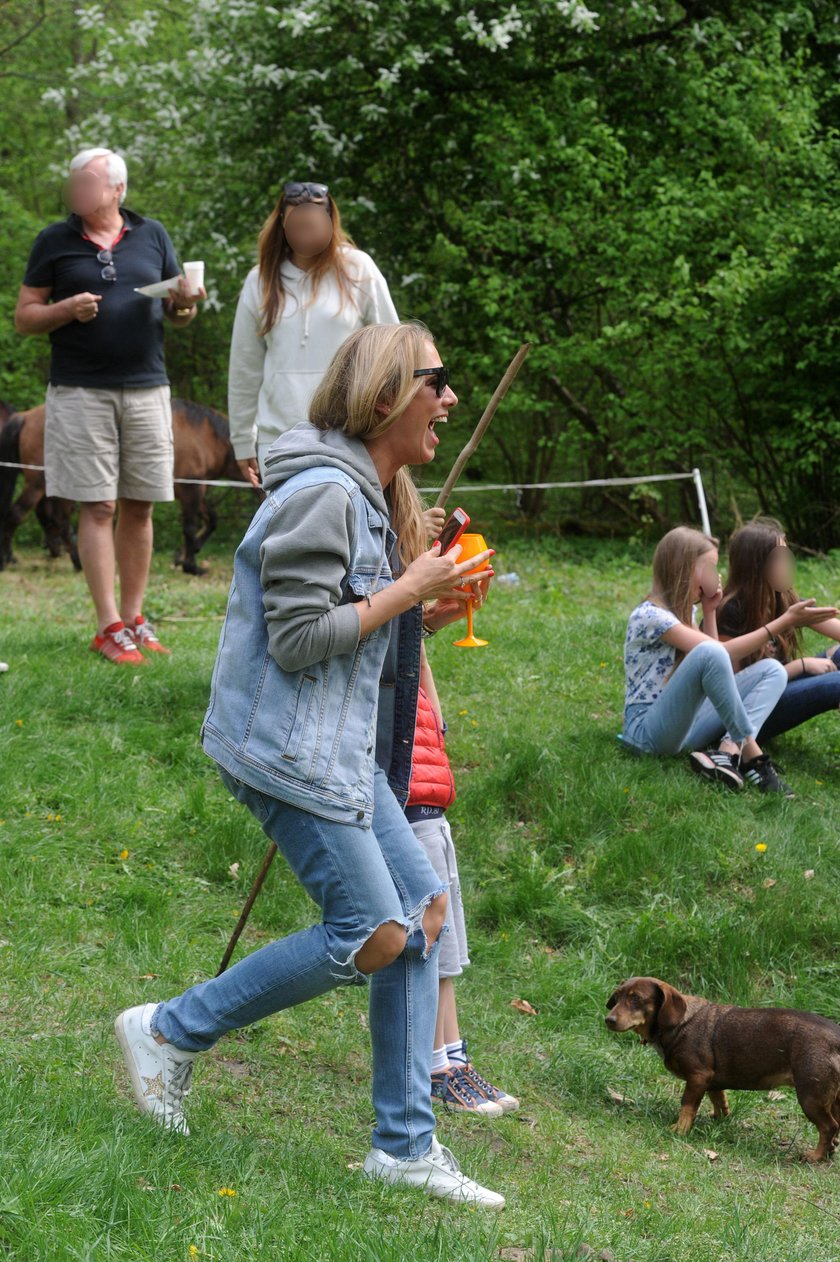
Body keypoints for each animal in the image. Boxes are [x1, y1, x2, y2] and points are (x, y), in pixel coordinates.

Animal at [0, 396, 258, 575]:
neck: (205, 435)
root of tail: (26, 417)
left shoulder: (196, 490)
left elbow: (211, 520)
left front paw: (185, 554)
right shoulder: (191, 491)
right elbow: (190, 527)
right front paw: (190, 565)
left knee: (55, 519)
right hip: (40, 484)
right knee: (21, 514)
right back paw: (12, 558)